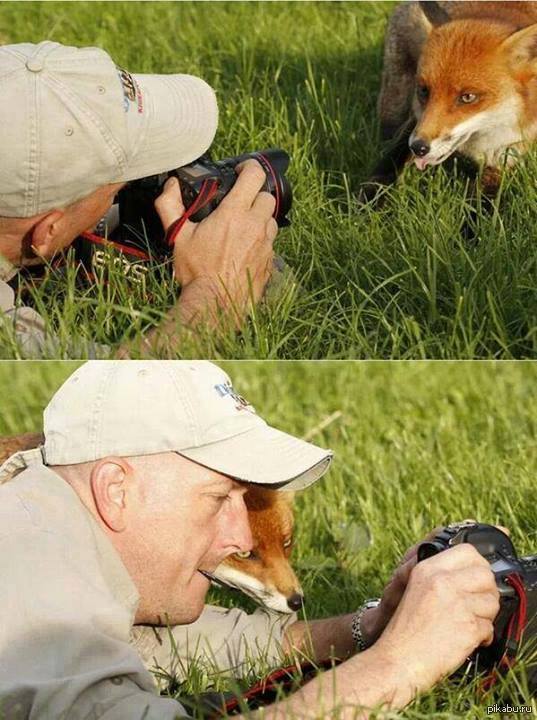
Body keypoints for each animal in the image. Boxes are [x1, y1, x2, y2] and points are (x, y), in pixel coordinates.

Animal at [363, 1, 537, 198]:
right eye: (424, 91)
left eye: (467, 97)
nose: (419, 147)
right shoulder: (415, 120)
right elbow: (392, 158)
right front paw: (370, 196)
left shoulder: (509, 153)